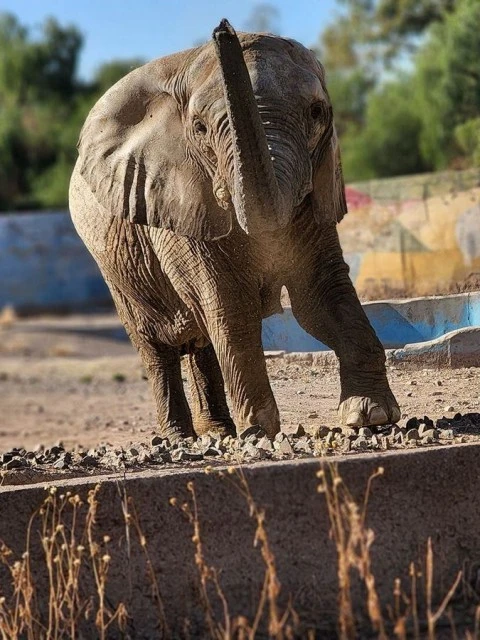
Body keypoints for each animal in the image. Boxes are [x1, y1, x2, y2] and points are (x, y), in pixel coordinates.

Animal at [69, 19, 400, 442]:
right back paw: (181, 437)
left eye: (317, 112)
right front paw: (260, 431)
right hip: (115, 269)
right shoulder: (178, 200)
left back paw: (218, 433)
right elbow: (230, 302)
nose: (222, 28)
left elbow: (320, 295)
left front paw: (372, 415)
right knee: (157, 346)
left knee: (201, 340)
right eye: (199, 128)